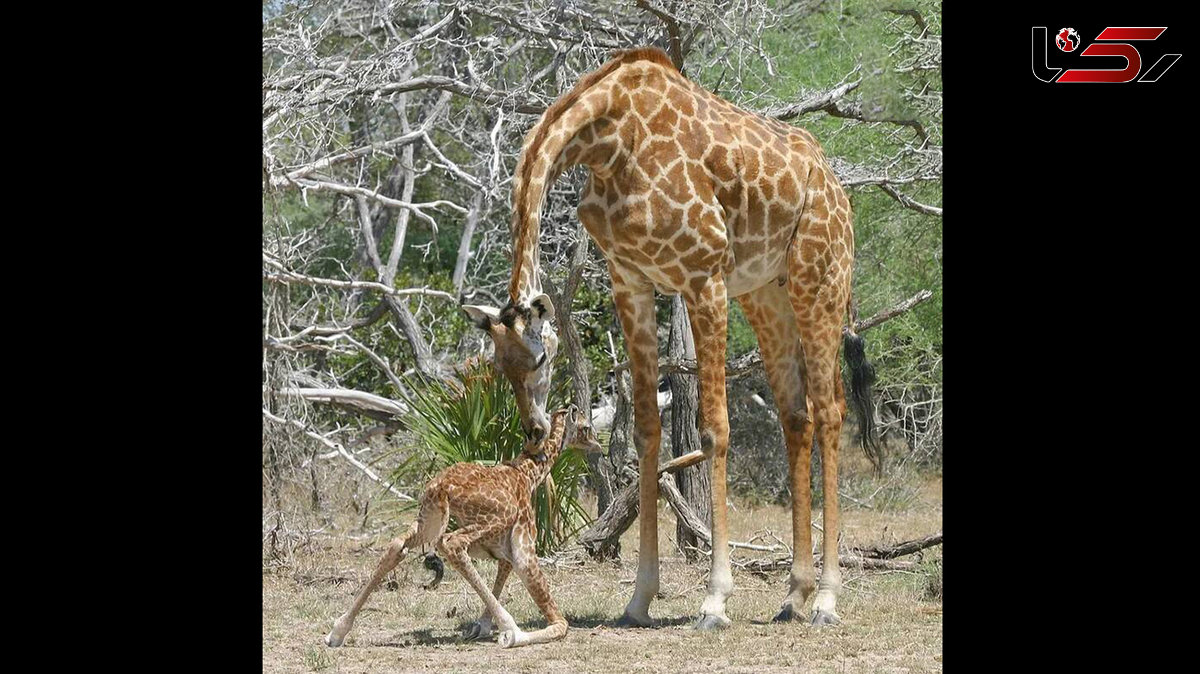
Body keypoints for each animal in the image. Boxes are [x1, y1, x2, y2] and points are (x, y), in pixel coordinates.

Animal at [326, 402, 600, 647]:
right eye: (586, 427)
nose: (596, 444)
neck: (530, 474)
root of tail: (441, 487)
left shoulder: (502, 552)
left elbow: (500, 578)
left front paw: (481, 626)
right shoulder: (523, 547)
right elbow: (561, 625)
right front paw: (504, 632)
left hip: (428, 520)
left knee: (397, 544)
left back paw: (337, 632)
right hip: (489, 519)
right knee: (452, 543)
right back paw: (512, 629)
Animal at [463, 48, 878, 628]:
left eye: (541, 359)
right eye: (498, 367)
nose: (534, 429)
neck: (610, 137)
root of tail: (836, 186)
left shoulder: (703, 278)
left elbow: (714, 430)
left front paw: (715, 599)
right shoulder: (630, 279)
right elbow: (644, 433)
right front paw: (639, 598)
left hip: (819, 279)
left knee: (831, 412)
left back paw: (825, 600)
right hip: (765, 293)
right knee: (797, 415)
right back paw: (793, 595)